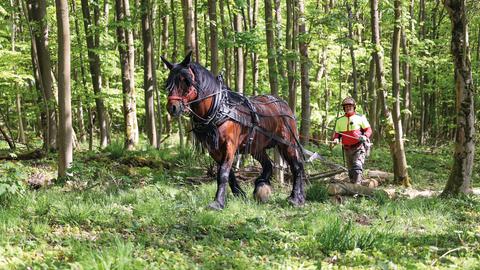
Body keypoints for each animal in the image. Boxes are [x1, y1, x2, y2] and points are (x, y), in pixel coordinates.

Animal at [159, 52, 306, 209]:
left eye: (185, 80)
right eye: (169, 82)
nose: (172, 107)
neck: (219, 108)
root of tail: (283, 105)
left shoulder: (229, 145)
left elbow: (223, 172)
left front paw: (218, 202)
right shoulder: (213, 149)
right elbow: (228, 174)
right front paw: (239, 194)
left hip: (287, 143)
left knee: (297, 167)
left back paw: (295, 198)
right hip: (255, 147)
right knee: (268, 165)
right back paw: (262, 186)